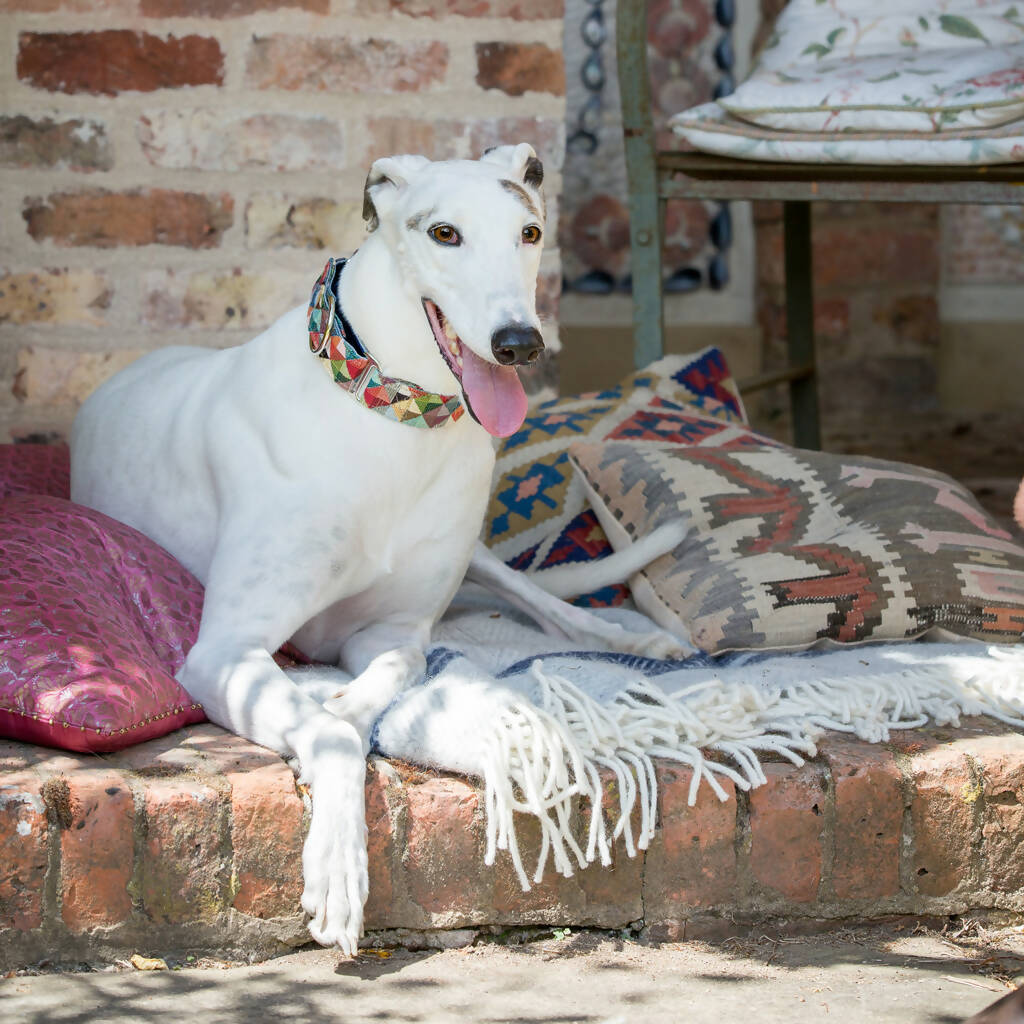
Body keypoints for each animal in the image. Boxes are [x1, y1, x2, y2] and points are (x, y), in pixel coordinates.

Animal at [72, 144, 688, 950]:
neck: (394, 422)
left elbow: (397, 669)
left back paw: (633, 637)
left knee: (539, 598)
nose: (518, 343)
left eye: (528, 232)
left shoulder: (389, 630)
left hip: (475, 550)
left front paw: (345, 702)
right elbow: (335, 733)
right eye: (445, 233)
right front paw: (337, 862)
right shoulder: (223, 655)